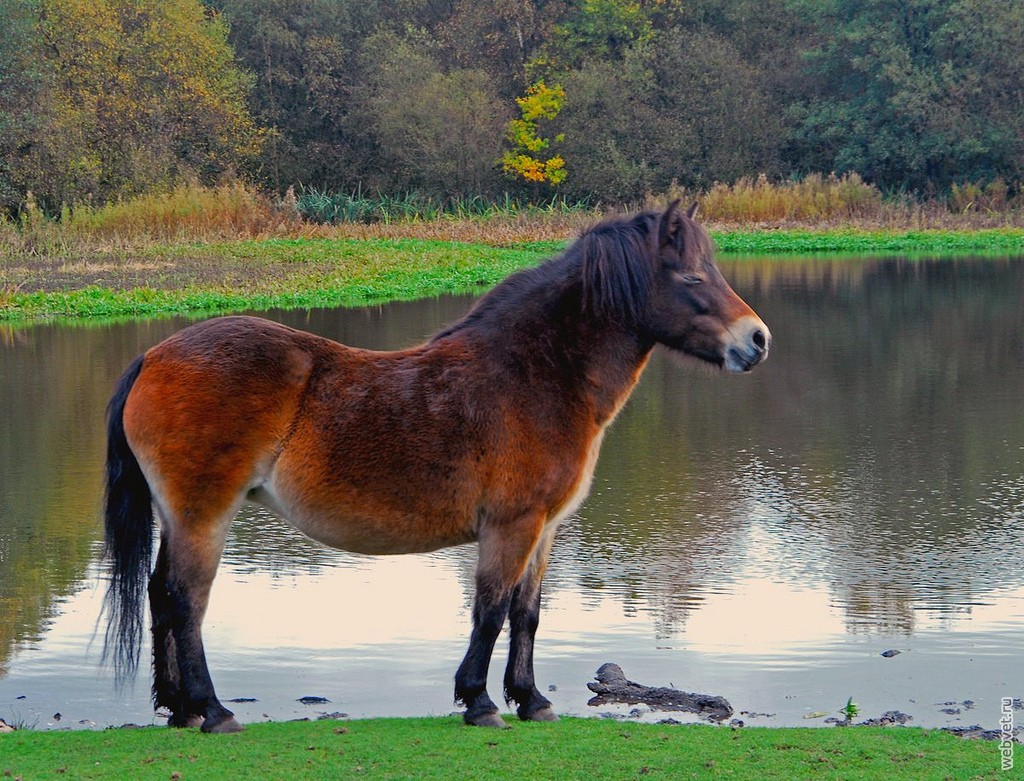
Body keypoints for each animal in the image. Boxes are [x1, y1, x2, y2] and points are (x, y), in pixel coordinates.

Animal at [101, 201, 770, 732]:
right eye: (690, 275)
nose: (757, 339)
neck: (532, 376)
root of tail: (153, 355)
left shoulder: (544, 529)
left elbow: (527, 612)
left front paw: (530, 699)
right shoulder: (511, 525)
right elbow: (492, 608)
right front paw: (480, 701)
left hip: (180, 517)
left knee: (161, 593)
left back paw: (180, 709)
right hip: (204, 515)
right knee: (187, 599)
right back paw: (213, 711)